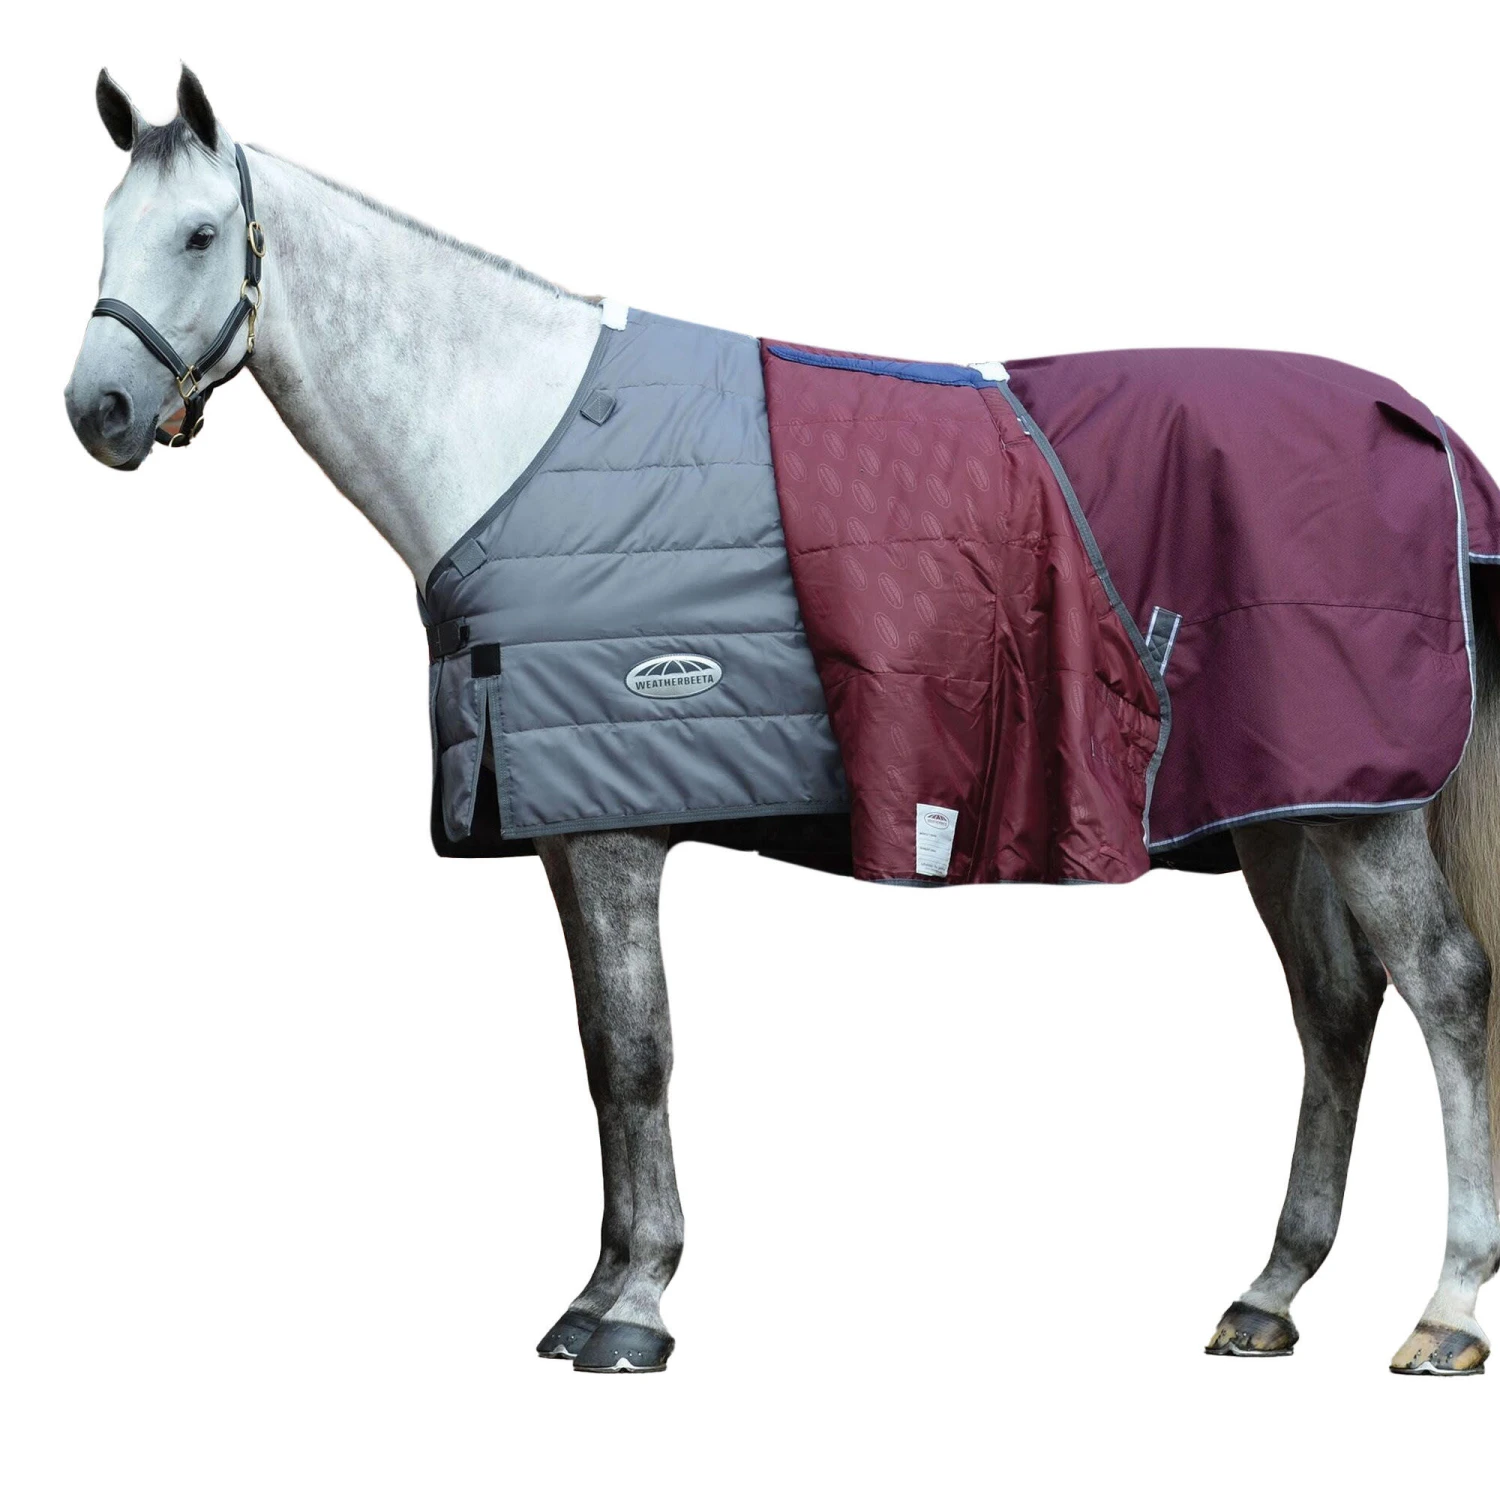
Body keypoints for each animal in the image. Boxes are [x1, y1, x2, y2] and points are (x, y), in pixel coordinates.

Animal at [64, 66, 1500, 1376]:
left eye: (200, 235)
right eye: (106, 230)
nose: (99, 414)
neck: (518, 443)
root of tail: (1418, 424)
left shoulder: (617, 833)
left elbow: (635, 1055)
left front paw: (633, 1310)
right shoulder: (565, 830)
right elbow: (597, 1057)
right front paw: (596, 1296)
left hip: (1359, 811)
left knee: (1445, 989)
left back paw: (1446, 1311)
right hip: (1285, 806)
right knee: (1333, 1005)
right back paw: (1270, 1293)